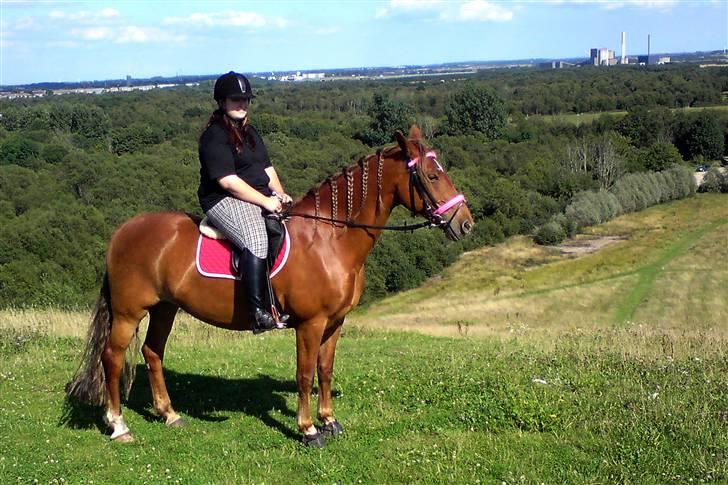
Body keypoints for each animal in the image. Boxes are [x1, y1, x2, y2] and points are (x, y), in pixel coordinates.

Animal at [67, 126, 472, 448]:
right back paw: (119, 426)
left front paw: (330, 420)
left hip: (165, 307)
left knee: (152, 352)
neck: (330, 238)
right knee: (113, 357)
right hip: (128, 311)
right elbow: (305, 374)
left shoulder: (335, 322)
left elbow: (325, 370)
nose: (465, 223)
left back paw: (169, 414)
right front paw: (308, 430)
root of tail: (122, 231)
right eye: (432, 176)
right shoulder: (310, 323)